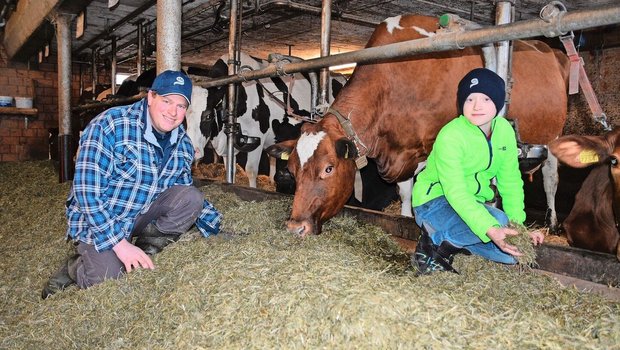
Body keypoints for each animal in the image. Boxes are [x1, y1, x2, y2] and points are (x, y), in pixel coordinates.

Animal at [268, 15, 572, 237]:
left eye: (328, 168)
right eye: (292, 169)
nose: (296, 227)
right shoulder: (402, 150)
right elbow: (405, 192)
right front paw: (404, 218)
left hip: (554, 138)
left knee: (551, 180)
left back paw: (551, 222)